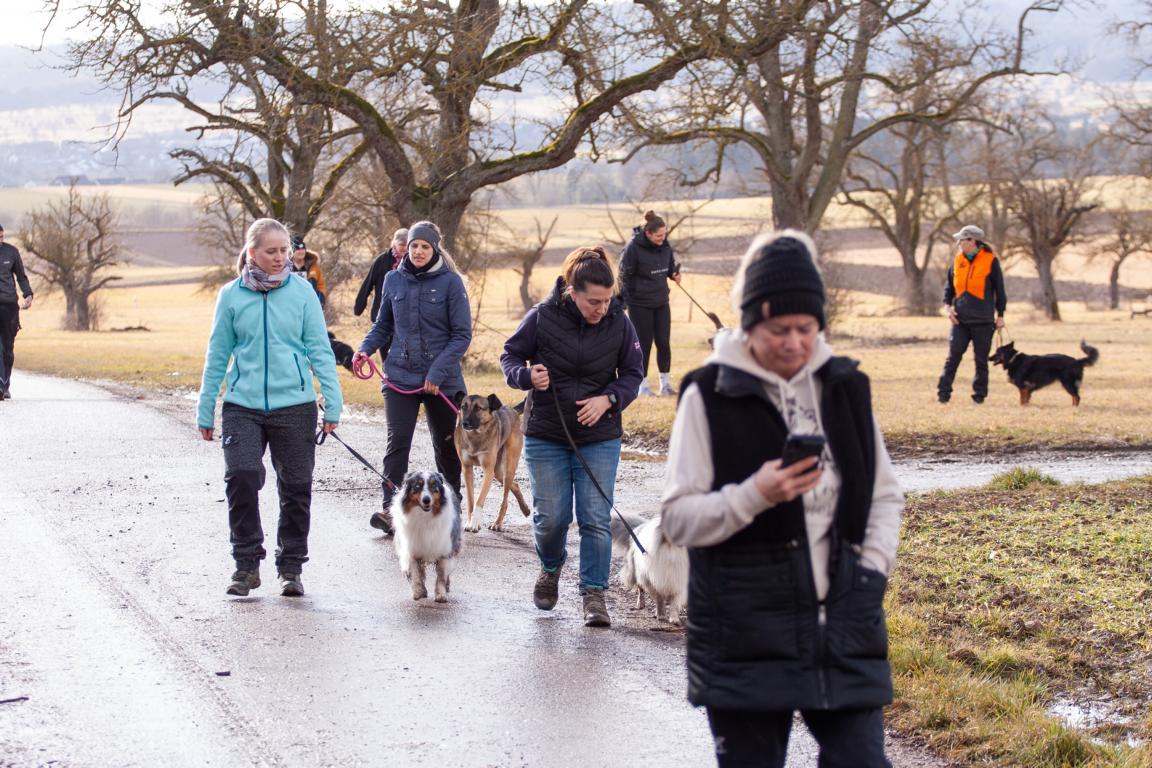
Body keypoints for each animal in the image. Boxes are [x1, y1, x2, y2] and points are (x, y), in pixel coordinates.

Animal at [391, 471, 462, 602]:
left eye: (433, 486)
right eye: (417, 486)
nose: (426, 500)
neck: (425, 517)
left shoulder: (444, 549)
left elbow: (441, 575)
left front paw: (441, 594)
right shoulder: (412, 548)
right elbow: (415, 572)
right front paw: (418, 592)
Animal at [452, 393, 531, 532]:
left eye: (478, 408)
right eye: (463, 406)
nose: (465, 423)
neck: (476, 435)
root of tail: (513, 410)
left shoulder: (488, 471)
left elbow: (479, 500)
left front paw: (475, 523)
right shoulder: (467, 469)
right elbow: (470, 501)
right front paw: (469, 521)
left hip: (508, 467)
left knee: (505, 500)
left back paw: (497, 523)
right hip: (498, 472)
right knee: (515, 485)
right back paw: (525, 509)